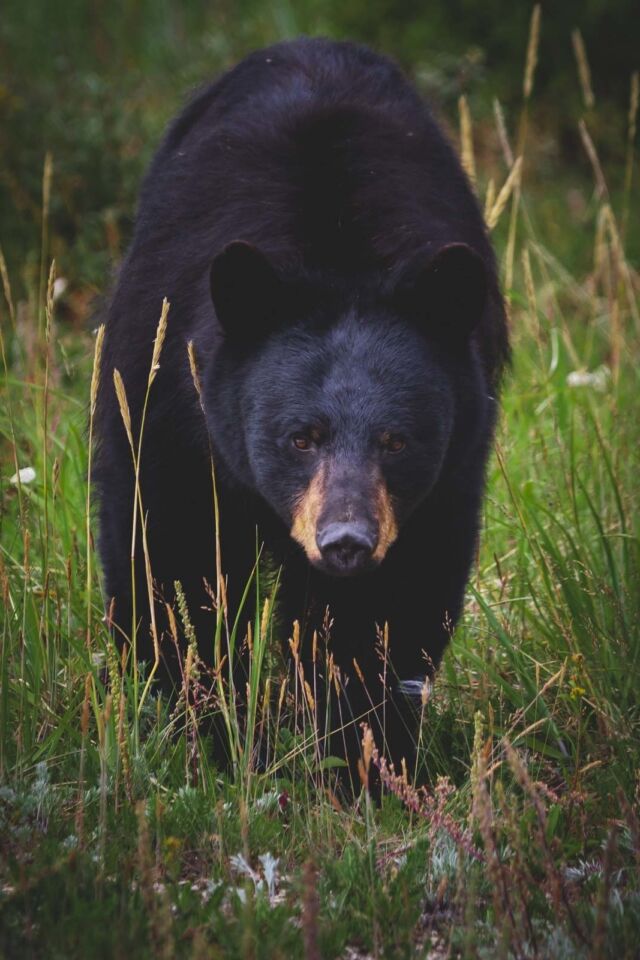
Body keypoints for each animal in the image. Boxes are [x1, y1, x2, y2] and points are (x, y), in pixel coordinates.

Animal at [95, 37, 508, 780]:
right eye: (300, 437)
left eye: (397, 440)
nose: (346, 541)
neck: (335, 252)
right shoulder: (166, 406)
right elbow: (167, 559)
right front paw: (208, 735)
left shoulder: (450, 467)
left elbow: (392, 612)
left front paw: (362, 759)